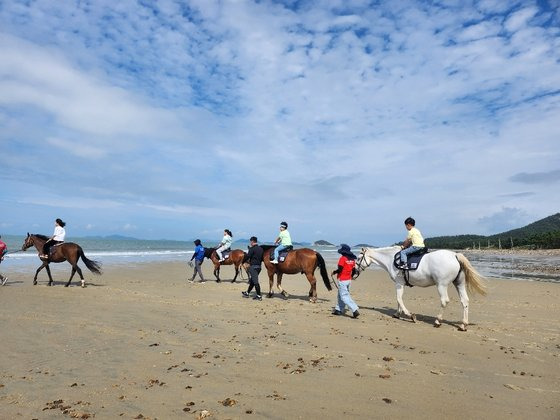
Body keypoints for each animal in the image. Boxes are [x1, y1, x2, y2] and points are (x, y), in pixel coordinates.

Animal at [358, 246, 486, 332]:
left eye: (359, 258)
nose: (355, 270)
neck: (391, 259)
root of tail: (454, 255)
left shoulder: (399, 283)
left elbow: (399, 299)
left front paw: (411, 316)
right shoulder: (400, 285)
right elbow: (399, 299)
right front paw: (397, 314)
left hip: (441, 285)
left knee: (444, 301)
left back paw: (438, 321)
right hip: (459, 283)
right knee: (465, 301)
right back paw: (463, 325)